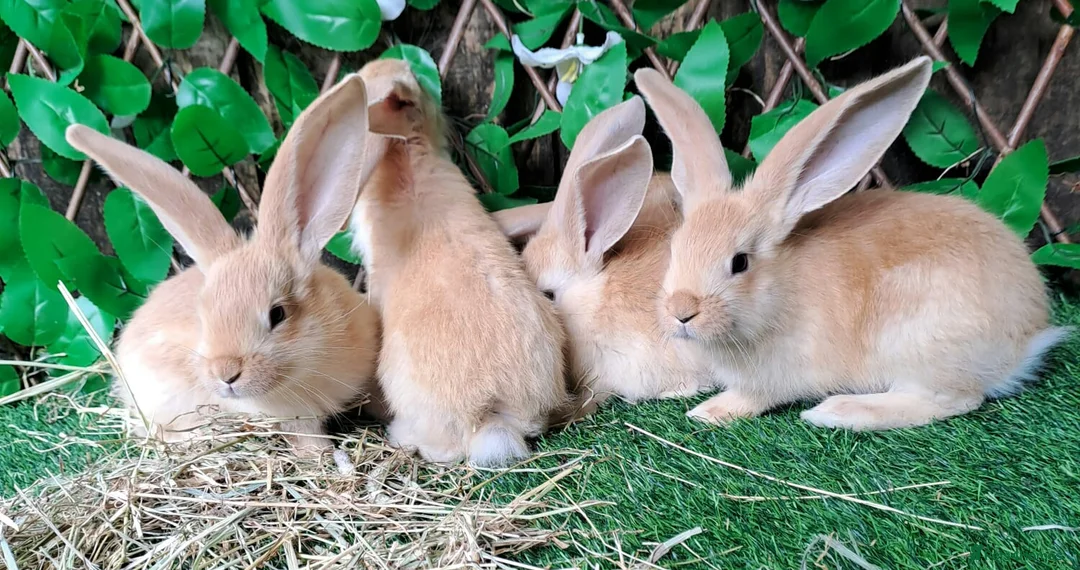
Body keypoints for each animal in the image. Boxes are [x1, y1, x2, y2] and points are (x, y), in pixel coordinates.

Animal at [64, 73, 387, 450]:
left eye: (277, 314)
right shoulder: (299, 418)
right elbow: (307, 437)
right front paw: (319, 454)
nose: (226, 374)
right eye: (203, 316)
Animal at [634, 56, 1069, 431]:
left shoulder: (773, 378)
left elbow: (751, 398)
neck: (781, 291)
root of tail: (1027, 335)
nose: (681, 311)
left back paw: (837, 412)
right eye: (674, 250)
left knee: (955, 399)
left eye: (739, 262)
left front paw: (708, 412)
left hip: (919, 345)